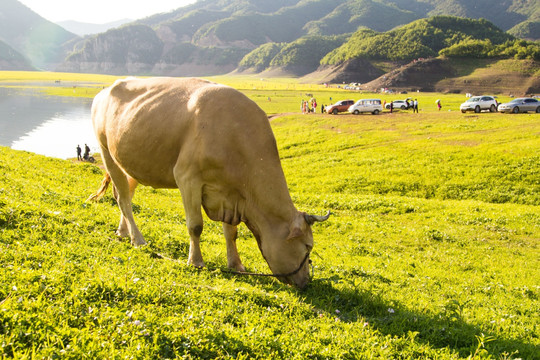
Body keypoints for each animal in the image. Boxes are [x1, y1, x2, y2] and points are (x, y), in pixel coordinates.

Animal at [89, 77, 330, 288]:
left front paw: (236, 264)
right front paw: (196, 262)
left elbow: (231, 233)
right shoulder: (187, 178)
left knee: (124, 196)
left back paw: (123, 232)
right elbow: (195, 226)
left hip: (130, 163)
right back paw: (138, 239)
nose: (306, 283)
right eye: (308, 246)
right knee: (123, 199)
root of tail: (104, 91)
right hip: (106, 152)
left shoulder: (232, 195)